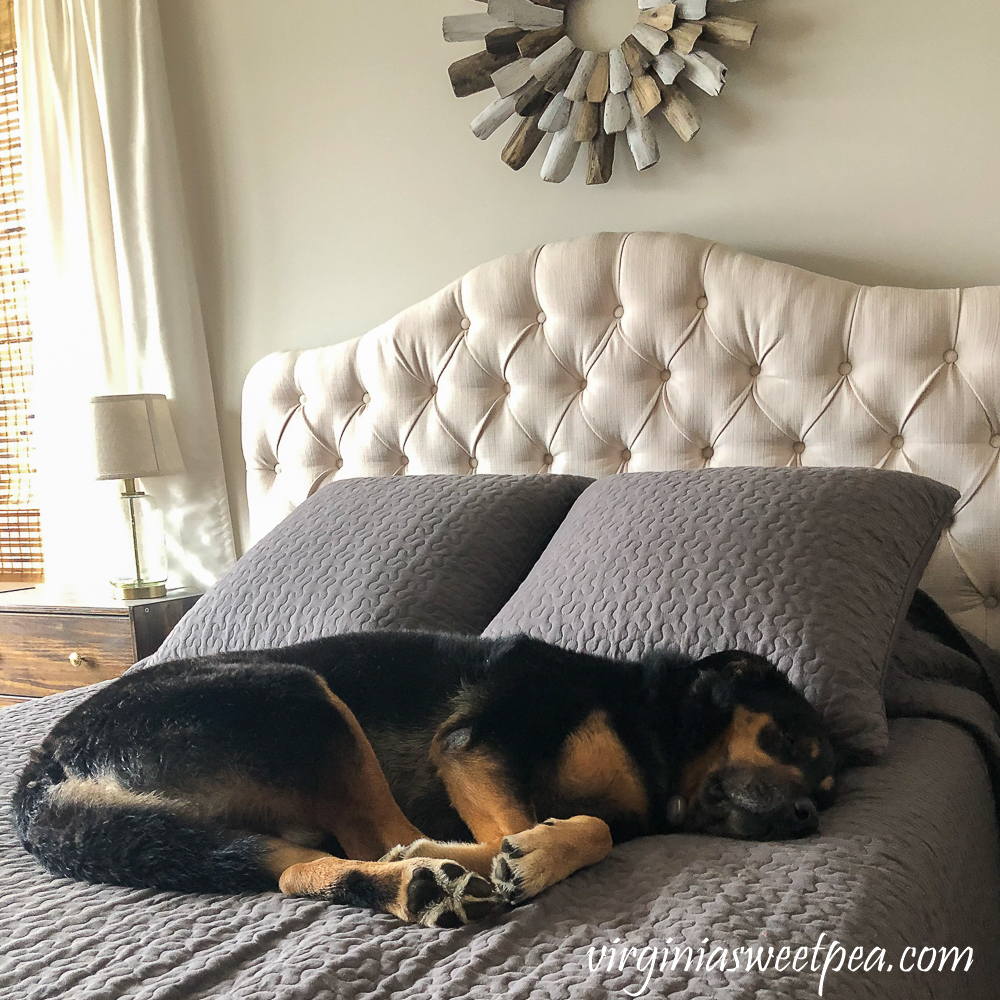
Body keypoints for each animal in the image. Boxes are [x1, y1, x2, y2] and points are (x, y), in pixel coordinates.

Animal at [11, 632, 836, 928]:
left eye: (828, 790)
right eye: (789, 739)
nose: (806, 816)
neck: (654, 723)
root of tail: (44, 769)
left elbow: (590, 824)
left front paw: (530, 852)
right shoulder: (474, 745)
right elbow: (565, 828)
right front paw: (536, 855)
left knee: (303, 866)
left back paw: (419, 886)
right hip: (302, 693)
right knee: (383, 837)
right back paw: (439, 873)